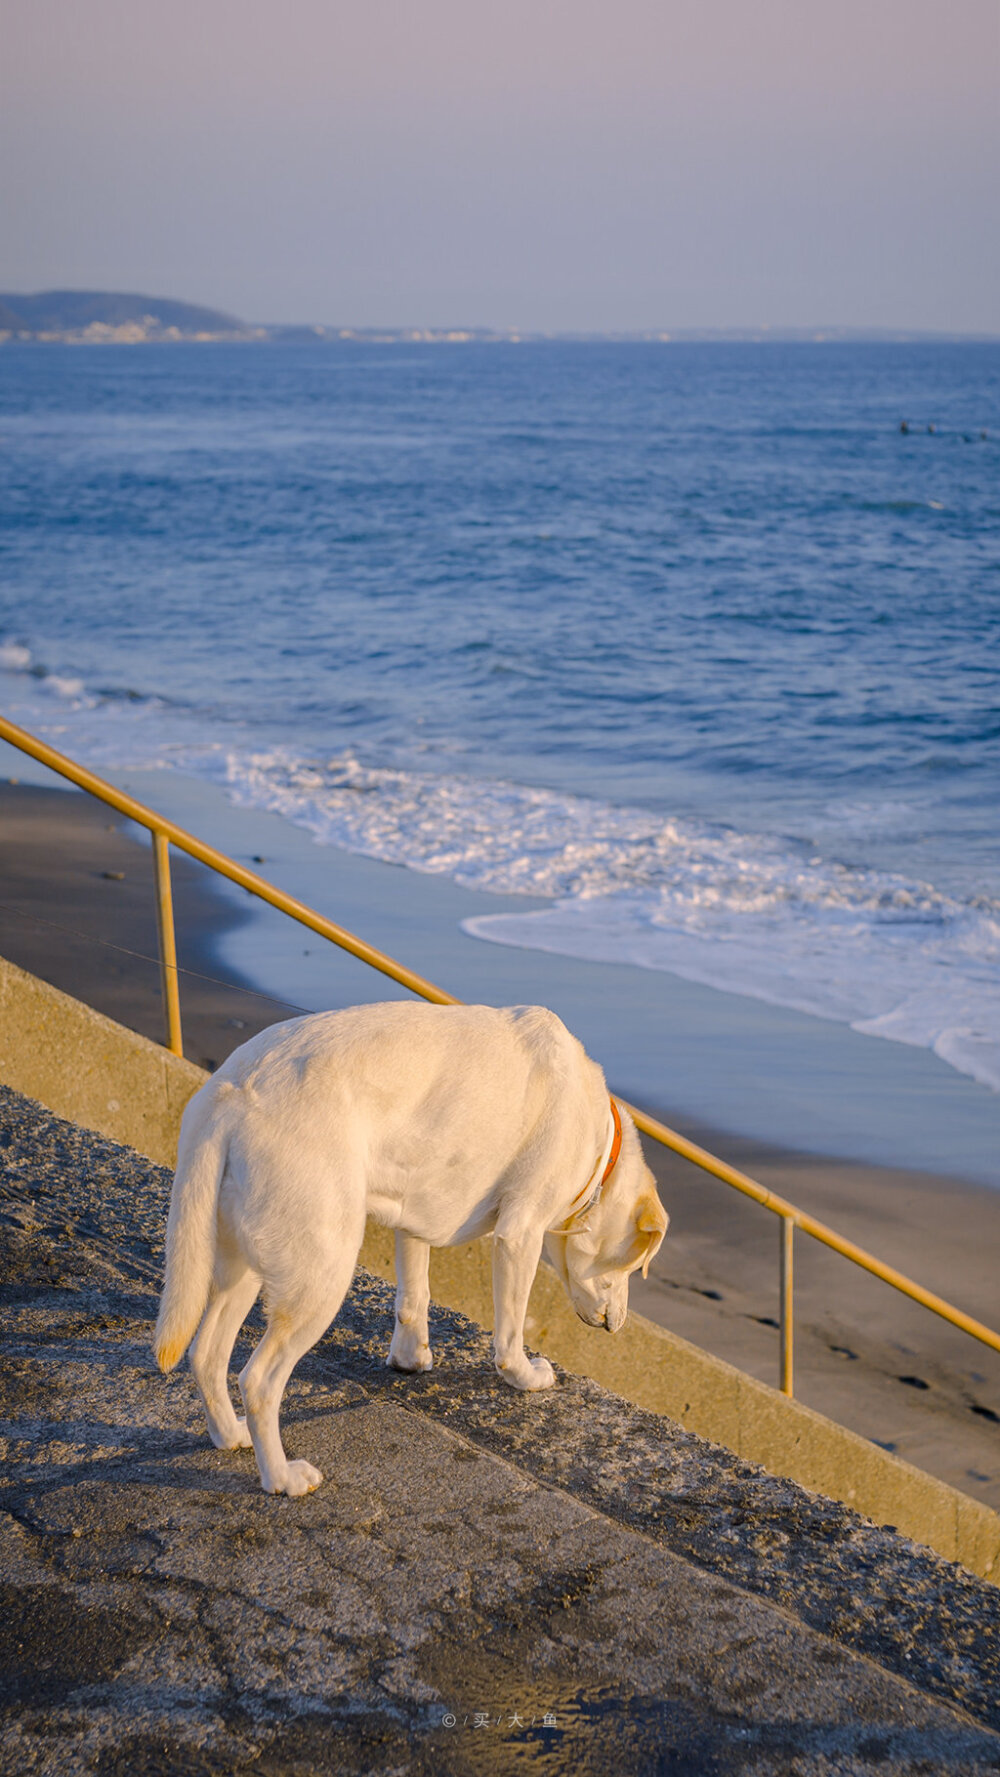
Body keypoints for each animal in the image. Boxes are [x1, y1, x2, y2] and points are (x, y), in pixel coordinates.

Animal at [156, 1009, 667, 1492]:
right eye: (634, 1265)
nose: (619, 1324)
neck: (600, 1148)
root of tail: (229, 1094)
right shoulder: (520, 1235)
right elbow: (509, 1332)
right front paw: (525, 1376)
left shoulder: (417, 1208)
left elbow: (414, 1295)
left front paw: (410, 1359)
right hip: (321, 1276)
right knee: (259, 1381)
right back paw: (282, 1479)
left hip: (242, 1266)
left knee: (206, 1354)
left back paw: (229, 1435)